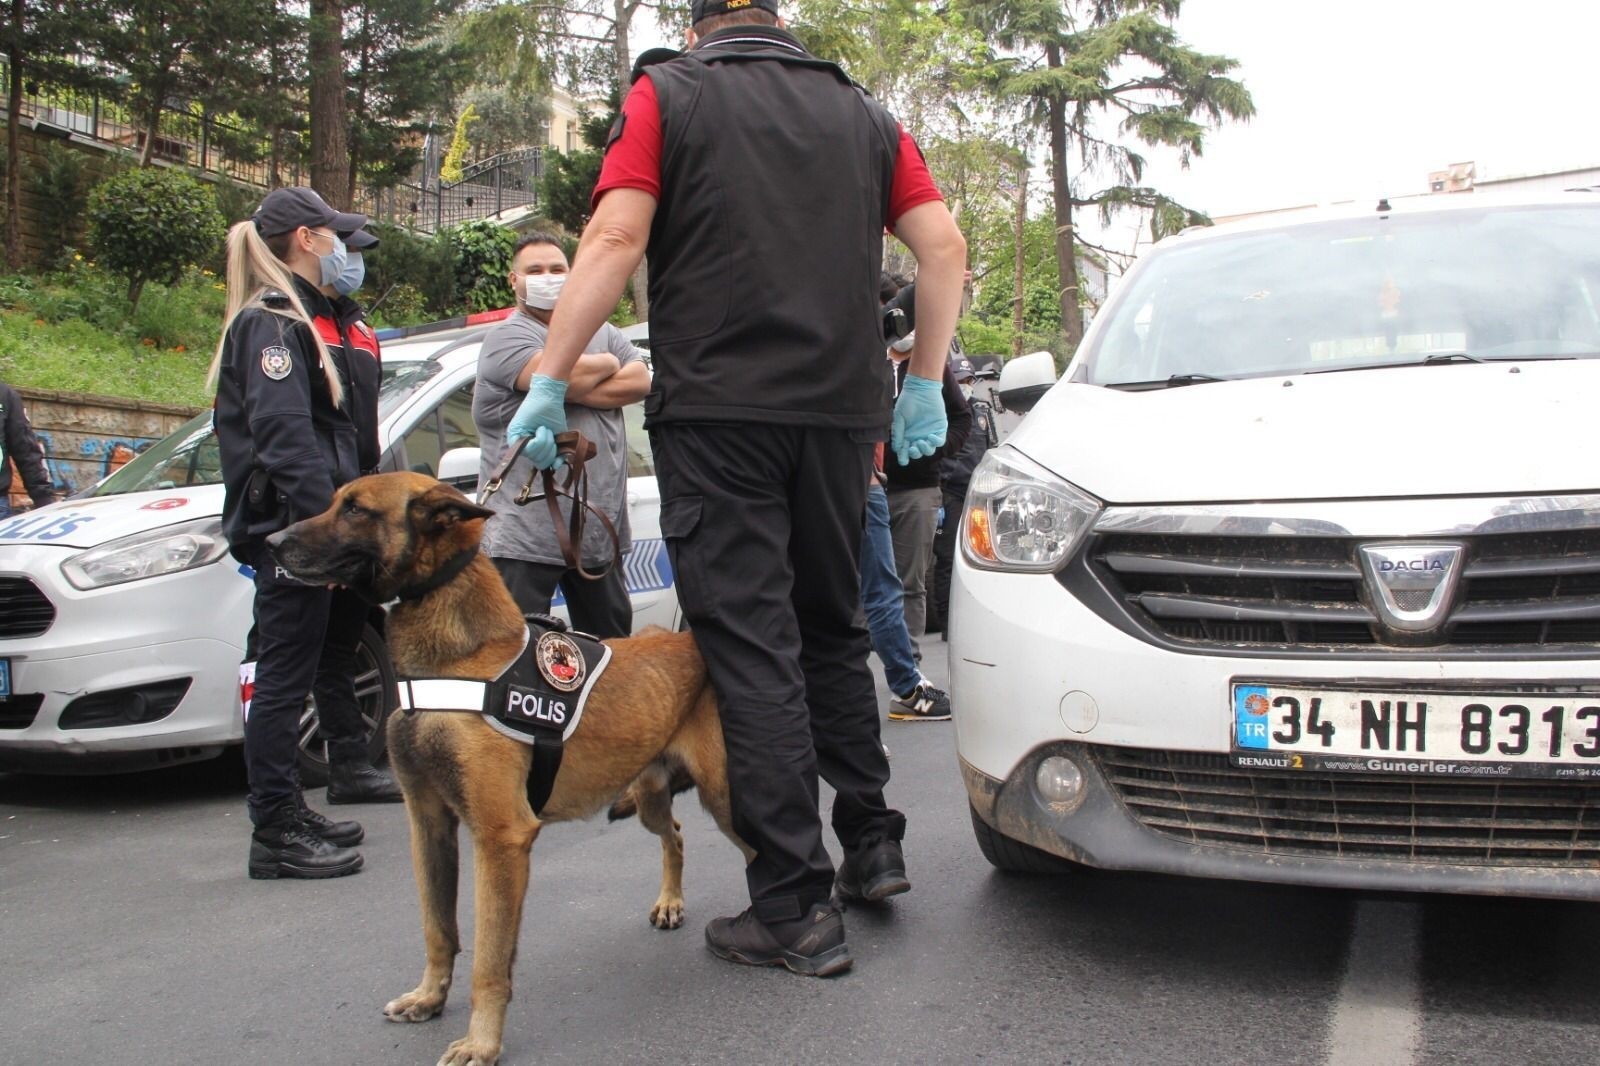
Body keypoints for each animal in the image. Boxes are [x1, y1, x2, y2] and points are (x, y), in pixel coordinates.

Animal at [270, 470, 748, 1062]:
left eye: (355, 510)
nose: (270, 544)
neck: (456, 659)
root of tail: (686, 640)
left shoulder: (500, 838)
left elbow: (489, 959)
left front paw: (482, 1041)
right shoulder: (429, 824)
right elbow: (438, 929)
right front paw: (429, 997)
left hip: (725, 797)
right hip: (652, 799)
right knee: (675, 834)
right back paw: (670, 902)